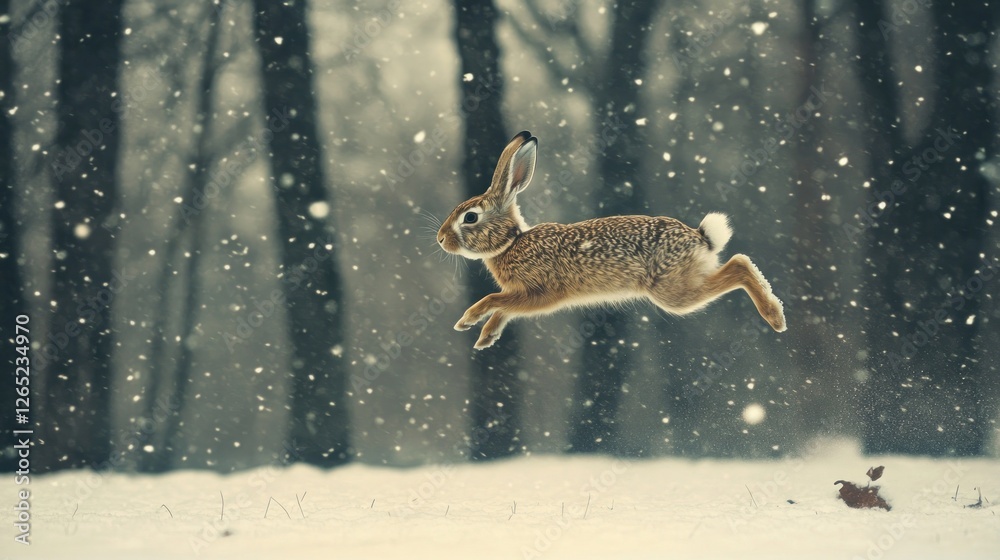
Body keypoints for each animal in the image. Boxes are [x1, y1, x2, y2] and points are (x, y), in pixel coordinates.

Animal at [437, 130, 787, 349]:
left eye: (470, 218)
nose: (441, 239)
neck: (510, 243)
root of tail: (700, 238)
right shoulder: (522, 297)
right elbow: (503, 310)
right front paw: (485, 338)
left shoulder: (542, 293)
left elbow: (494, 301)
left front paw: (468, 321)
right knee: (740, 263)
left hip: (673, 292)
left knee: (739, 265)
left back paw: (775, 317)